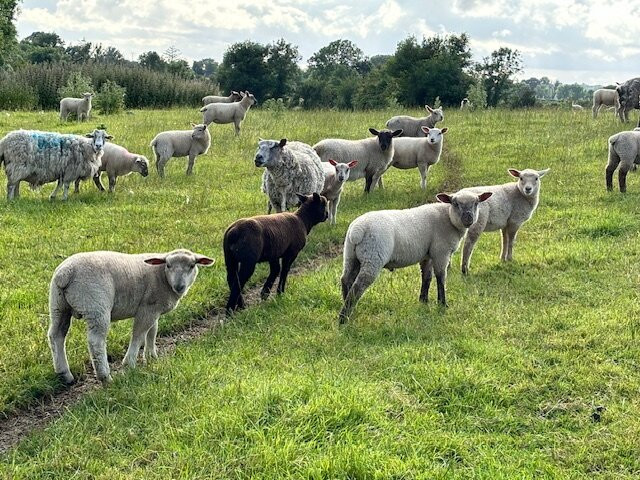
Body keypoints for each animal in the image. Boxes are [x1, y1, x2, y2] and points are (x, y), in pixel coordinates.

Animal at [47, 249, 216, 384]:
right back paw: (105, 377)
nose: (179, 286)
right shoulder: (147, 309)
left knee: (56, 335)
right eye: (168, 265)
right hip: (96, 305)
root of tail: (65, 273)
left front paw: (151, 357)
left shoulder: (153, 308)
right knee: (96, 342)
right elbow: (139, 335)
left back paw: (64, 374)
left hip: (58, 305)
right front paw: (130, 363)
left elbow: (152, 331)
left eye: (192, 266)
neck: (162, 277)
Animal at [340, 190, 496, 322]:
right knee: (358, 286)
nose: (468, 218)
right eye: (455, 203)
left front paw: (423, 301)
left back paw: (348, 309)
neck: (448, 219)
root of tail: (357, 230)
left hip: (351, 256)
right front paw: (442, 304)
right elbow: (441, 278)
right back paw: (343, 319)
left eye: (476, 203)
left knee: (346, 279)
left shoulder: (428, 255)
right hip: (373, 257)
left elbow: (427, 277)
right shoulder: (441, 253)